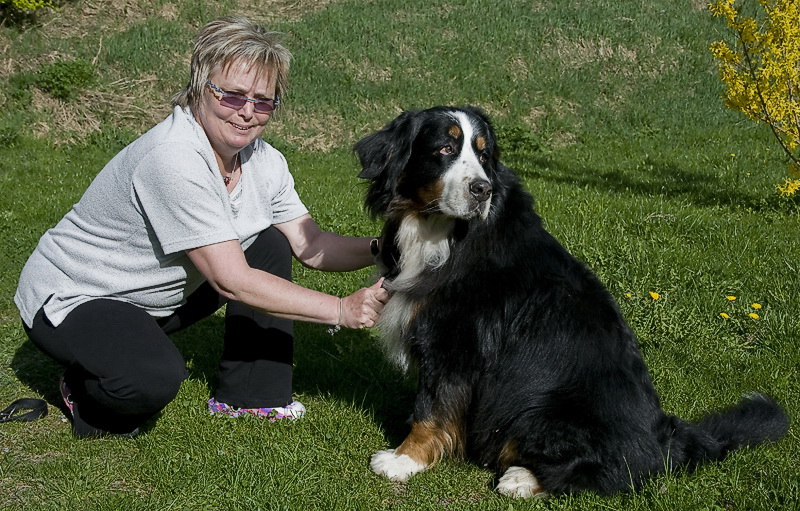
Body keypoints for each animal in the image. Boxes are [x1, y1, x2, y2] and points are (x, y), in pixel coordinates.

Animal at [354, 106, 788, 498]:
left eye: (483, 155)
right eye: (445, 148)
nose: (482, 190)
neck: (442, 233)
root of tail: (668, 442)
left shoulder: (454, 340)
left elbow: (432, 409)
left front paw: (403, 459)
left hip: (542, 406)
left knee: (600, 475)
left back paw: (521, 479)